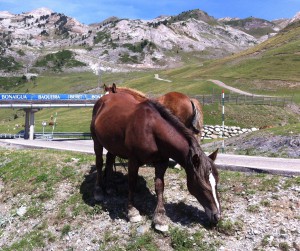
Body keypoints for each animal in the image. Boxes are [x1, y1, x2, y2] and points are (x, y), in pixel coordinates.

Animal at [91, 91, 220, 231]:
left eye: (216, 183)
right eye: (202, 185)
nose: (217, 216)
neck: (150, 128)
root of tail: (104, 98)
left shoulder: (161, 162)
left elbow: (159, 186)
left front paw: (160, 217)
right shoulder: (133, 161)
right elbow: (132, 182)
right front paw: (132, 211)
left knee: (110, 160)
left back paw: (109, 187)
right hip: (97, 141)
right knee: (99, 163)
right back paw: (98, 191)